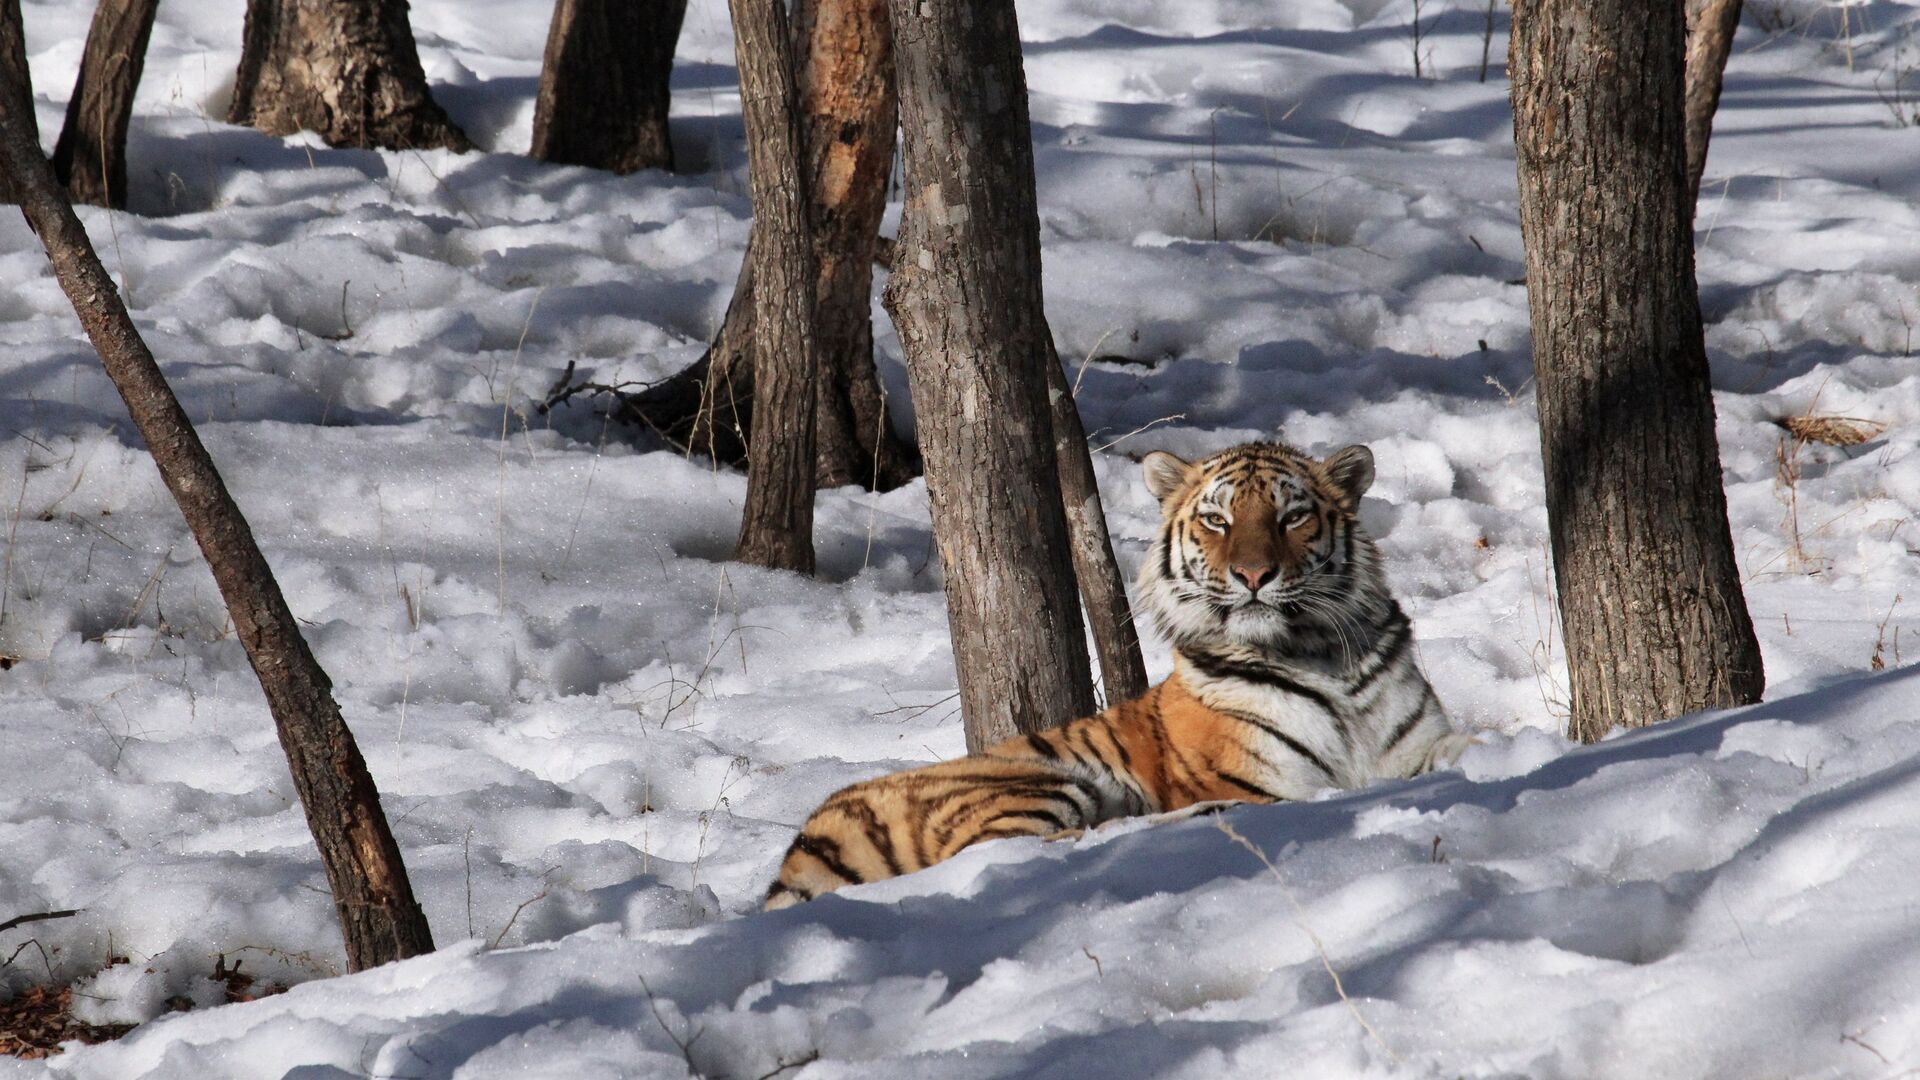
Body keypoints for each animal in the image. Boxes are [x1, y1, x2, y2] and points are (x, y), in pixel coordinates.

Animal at [756, 438, 1459, 907]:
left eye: (1293, 517)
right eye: (1217, 520)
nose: (1254, 575)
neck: (1319, 655)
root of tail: (805, 837)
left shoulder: (1414, 743)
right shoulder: (1262, 780)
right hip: (1035, 785)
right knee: (1032, 847)